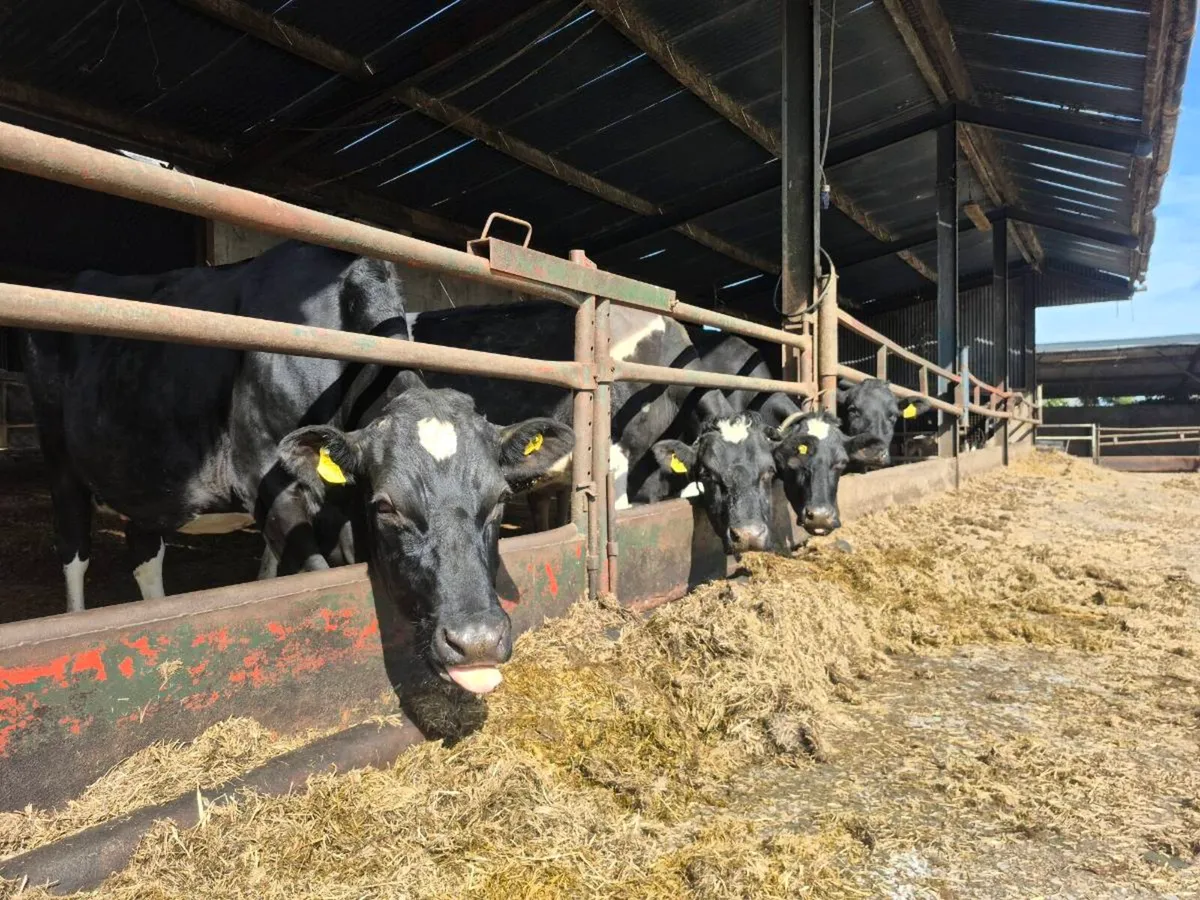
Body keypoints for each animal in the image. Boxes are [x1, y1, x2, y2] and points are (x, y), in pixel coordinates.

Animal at [21, 241, 574, 695]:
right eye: (387, 506)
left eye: (499, 499)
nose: (476, 642)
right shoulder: (268, 487)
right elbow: (315, 574)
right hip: (59, 459)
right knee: (74, 553)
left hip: (146, 473)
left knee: (145, 552)